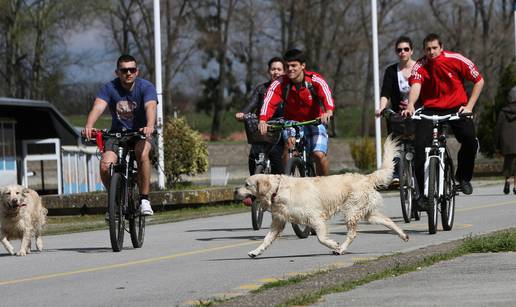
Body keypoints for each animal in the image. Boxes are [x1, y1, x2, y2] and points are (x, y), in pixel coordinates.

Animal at [236, 136, 410, 258]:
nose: (236, 191)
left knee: (352, 234)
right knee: (387, 221)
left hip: (351, 211)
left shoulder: (315, 218)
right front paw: (255, 251)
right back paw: (404, 235)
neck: (278, 190)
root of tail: (366, 177)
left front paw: (334, 245)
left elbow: (321, 238)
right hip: (367, 213)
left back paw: (341, 249)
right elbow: (266, 239)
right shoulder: (278, 221)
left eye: (246, 184)